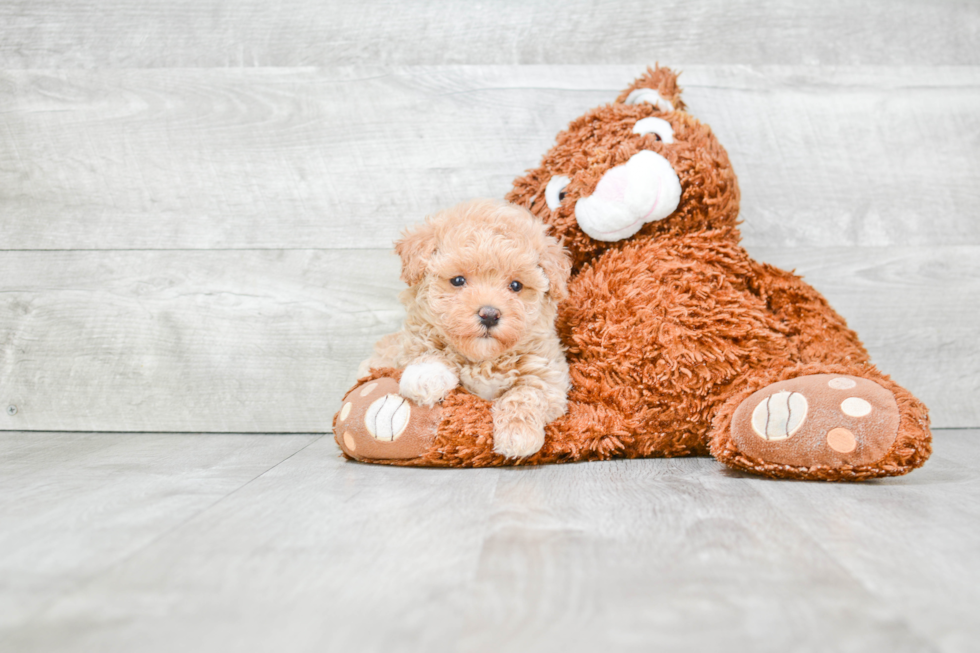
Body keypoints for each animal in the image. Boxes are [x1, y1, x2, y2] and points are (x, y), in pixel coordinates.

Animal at [360, 199, 576, 458]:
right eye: (458, 281)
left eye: (516, 285)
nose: (490, 314)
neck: (484, 360)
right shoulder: (412, 343)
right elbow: (430, 350)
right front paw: (425, 377)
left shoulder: (548, 377)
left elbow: (526, 394)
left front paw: (518, 434)